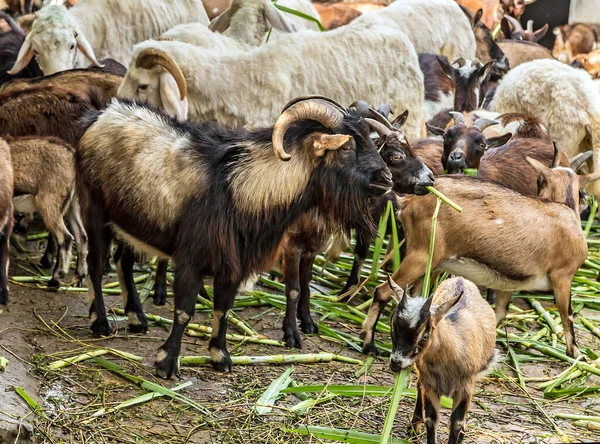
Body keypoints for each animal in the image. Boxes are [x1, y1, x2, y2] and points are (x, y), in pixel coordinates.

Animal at [76, 95, 394, 376]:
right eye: (346, 147)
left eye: (370, 139)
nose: (386, 178)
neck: (242, 189)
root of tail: (100, 115)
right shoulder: (191, 259)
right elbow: (184, 311)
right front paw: (167, 363)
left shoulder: (234, 264)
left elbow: (223, 308)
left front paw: (220, 356)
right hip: (94, 211)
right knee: (96, 265)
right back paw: (100, 322)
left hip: (129, 223)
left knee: (123, 262)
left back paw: (136, 318)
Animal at [386, 278, 494, 444]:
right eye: (392, 328)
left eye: (425, 336)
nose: (396, 363)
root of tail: (461, 279)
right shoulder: (431, 386)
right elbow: (431, 419)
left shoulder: (465, 388)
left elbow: (456, 422)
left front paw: (460, 432)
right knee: (419, 387)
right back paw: (414, 427)